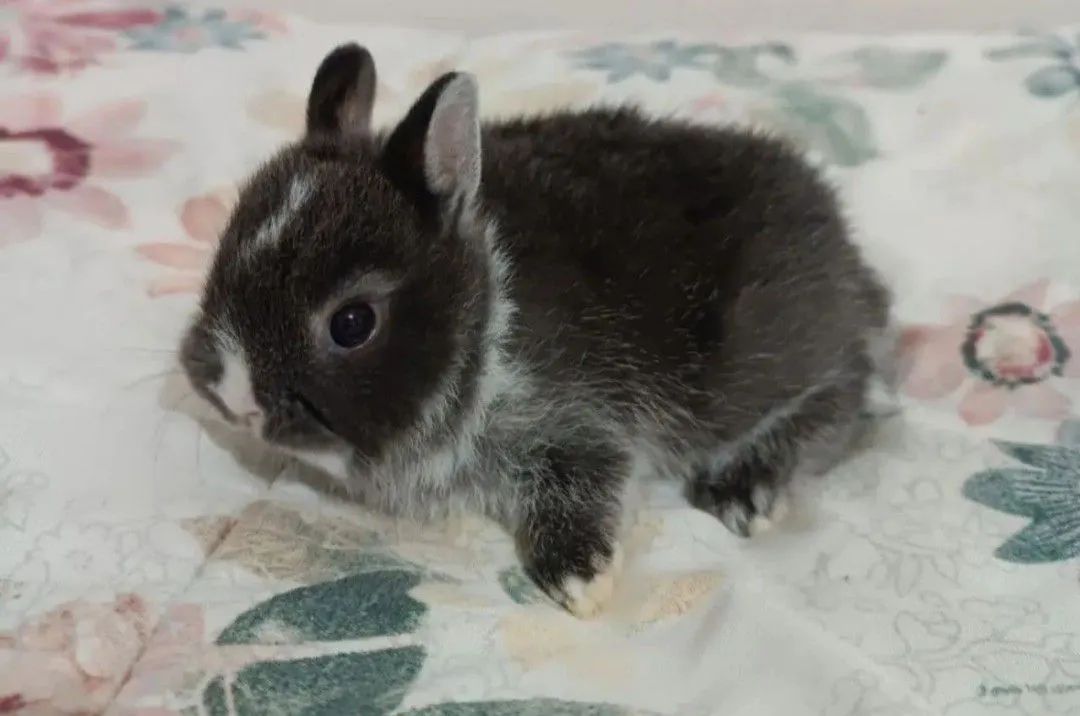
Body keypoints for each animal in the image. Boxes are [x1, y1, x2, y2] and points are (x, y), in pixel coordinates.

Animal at [179, 43, 892, 618]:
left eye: (352, 324)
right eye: (225, 243)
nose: (232, 395)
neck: (486, 317)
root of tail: (850, 259)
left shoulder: (580, 422)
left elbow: (584, 487)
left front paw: (581, 582)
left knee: (846, 400)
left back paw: (745, 490)